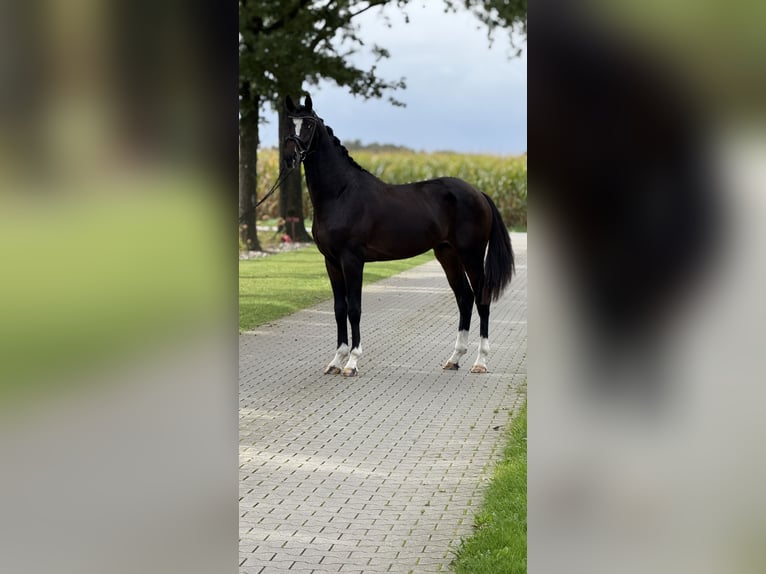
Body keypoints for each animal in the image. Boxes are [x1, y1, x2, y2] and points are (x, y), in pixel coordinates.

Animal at [283, 94, 515, 377]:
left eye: (307, 125)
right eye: (288, 124)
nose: (290, 157)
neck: (340, 193)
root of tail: (479, 193)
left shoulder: (352, 260)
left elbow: (354, 308)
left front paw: (352, 363)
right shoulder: (331, 261)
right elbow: (339, 309)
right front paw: (336, 361)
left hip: (471, 254)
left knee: (481, 298)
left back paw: (480, 362)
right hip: (447, 254)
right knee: (464, 297)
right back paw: (454, 358)